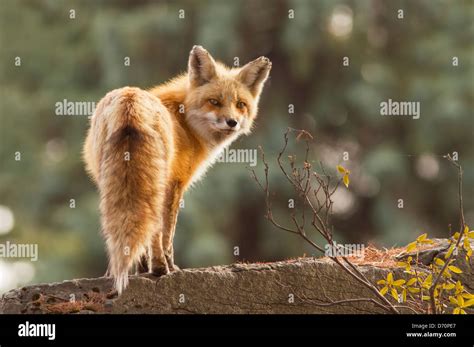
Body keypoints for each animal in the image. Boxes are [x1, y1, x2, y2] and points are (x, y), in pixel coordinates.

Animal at [83, 45, 272, 294]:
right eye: (214, 101)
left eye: (240, 104)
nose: (232, 122)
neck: (184, 119)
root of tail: (130, 99)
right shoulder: (176, 183)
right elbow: (168, 234)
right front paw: (169, 267)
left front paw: (140, 271)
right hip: (156, 181)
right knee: (155, 229)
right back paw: (160, 268)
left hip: (112, 181)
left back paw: (113, 273)